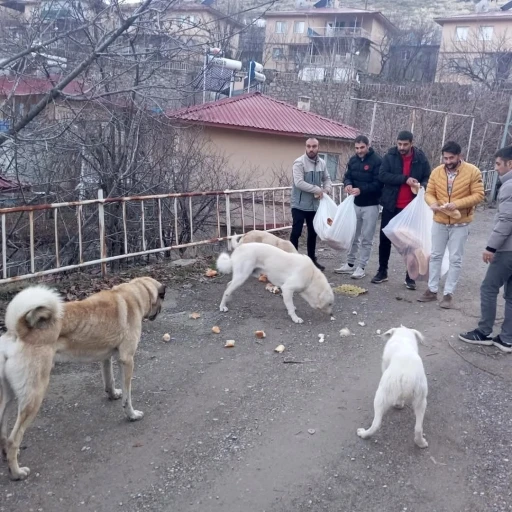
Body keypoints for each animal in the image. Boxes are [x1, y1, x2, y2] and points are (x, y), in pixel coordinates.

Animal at [0, 276, 165, 480]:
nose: (159, 311)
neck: (134, 293)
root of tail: (18, 330)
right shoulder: (127, 360)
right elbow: (128, 398)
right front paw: (132, 415)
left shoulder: (106, 357)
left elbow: (109, 380)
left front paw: (112, 395)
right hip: (34, 396)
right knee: (13, 439)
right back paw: (17, 472)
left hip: (10, 396)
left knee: (3, 429)